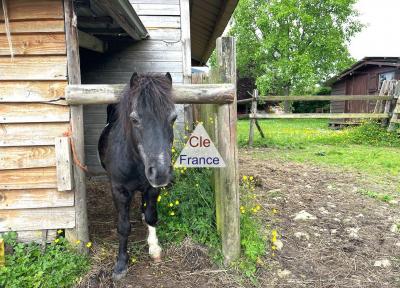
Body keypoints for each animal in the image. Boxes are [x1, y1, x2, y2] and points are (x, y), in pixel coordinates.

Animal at [97, 72, 176, 280]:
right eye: (134, 119)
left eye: (173, 118)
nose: (161, 173)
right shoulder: (119, 190)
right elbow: (123, 226)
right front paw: (121, 264)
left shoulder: (152, 188)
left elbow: (151, 216)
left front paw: (154, 248)